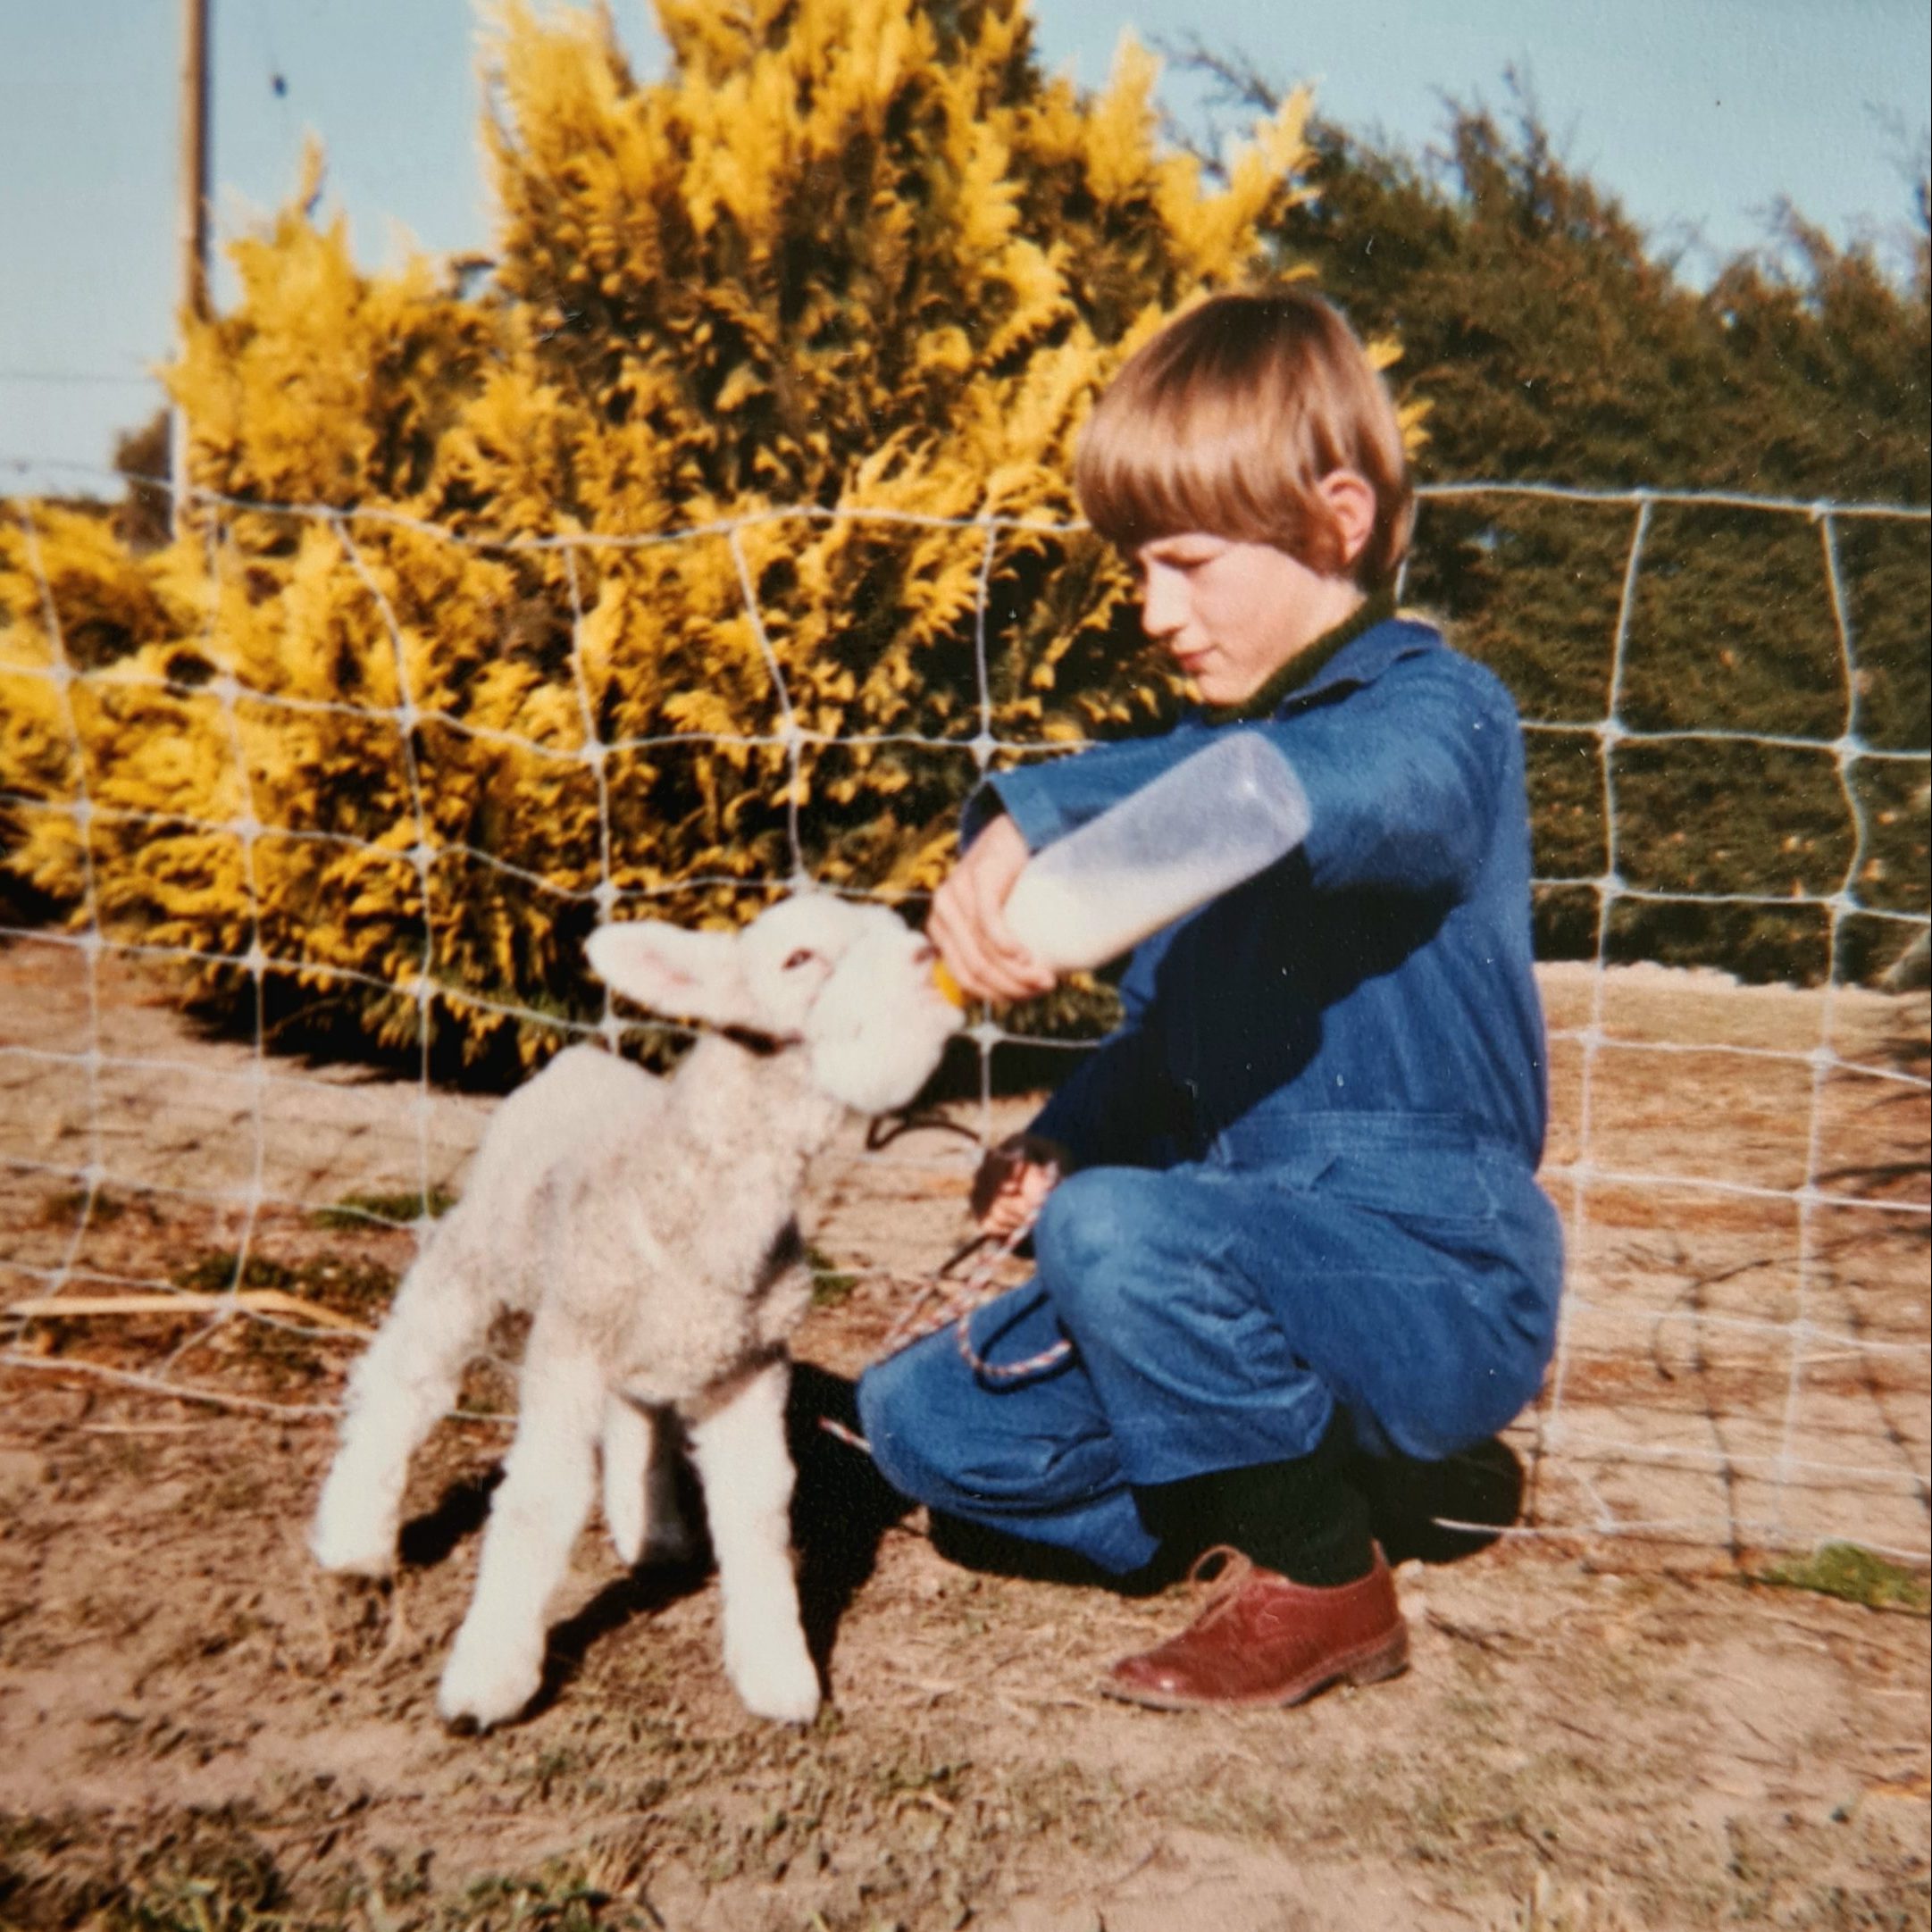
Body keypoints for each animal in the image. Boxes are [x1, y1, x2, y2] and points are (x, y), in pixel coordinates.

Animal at [311, 896, 966, 1731]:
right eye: (798, 958)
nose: (928, 959)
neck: (692, 1186)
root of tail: (579, 1058)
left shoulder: (750, 1364)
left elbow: (756, 1506)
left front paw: (777, 1669)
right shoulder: (568, 1348)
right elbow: (539, 1502)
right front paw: (488, 1680)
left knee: (635, 1414)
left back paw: (650, 1531)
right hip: (481, 1251)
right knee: (406, 1380)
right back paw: (352, 1541)